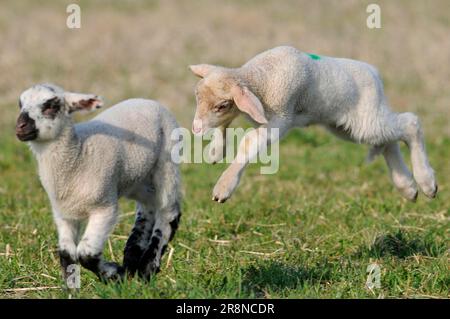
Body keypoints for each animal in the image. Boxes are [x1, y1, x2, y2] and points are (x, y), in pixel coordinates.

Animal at [16, 83, 181, 282]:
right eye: (20, 105)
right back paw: (132, 257)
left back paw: (147, 267)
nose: (20, 127)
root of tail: (148, 100)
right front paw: (72, 282)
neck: (79, 154)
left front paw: (114, 274)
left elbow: (86, 254)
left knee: (168, 212)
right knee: (147, 208)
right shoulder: (63, 214)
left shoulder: (104, 209)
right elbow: (67, 253)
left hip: (167, 165)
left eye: (51, 106)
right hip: (138, 178)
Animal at [189, 45, 436, 202]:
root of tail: (375, 73)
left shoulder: (280, 119)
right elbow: (223, 126)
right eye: (197, 97)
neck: (259, 78)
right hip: (350, 126)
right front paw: (215, 151)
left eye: (221, 105)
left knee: (411, 123)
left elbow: (248, 142)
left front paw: (223, 187)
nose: (195, 129)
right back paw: (407, 186)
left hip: (366, 120)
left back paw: (426, 182)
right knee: (389, 140)